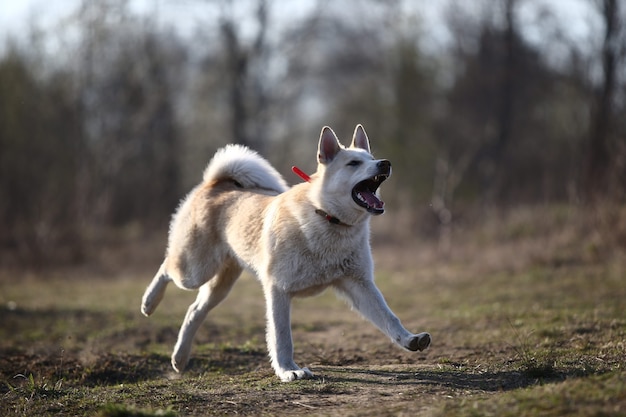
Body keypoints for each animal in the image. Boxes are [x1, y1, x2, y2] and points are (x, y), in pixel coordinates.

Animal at [140, 123, 428, 380]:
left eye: (372, 158)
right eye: (353, 163)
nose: (385, 163)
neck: (327, 218)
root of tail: (216, 183)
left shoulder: (360, 285)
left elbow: (389, 318)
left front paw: (410, 339)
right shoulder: (278, 290)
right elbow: (282, 338)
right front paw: (289, 370)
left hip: (220, 285)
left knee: (194, 310)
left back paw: (179, 359)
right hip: (194, 270)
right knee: (166, 268)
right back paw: (149, 303)